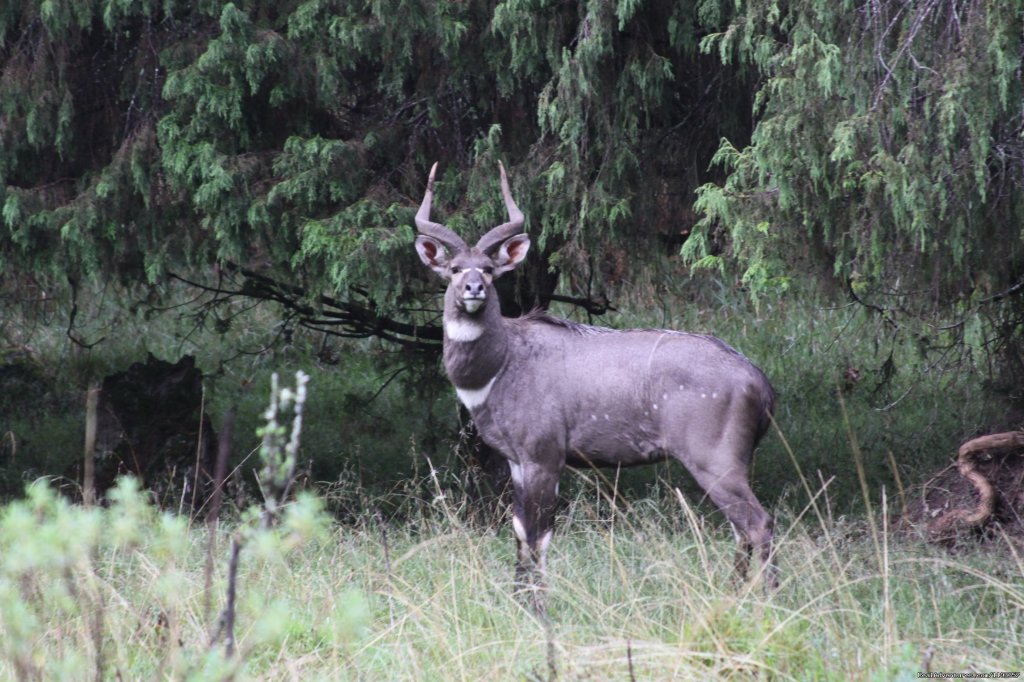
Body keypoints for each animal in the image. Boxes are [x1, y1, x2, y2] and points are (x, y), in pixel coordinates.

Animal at [413, 160, 774, 606]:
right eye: (453, 269)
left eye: (491, 269)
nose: (474, 288)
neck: (501, 367)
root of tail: (760, 384)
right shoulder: (516, 460)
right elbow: (518, 531)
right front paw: (518, 601)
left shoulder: (544, 454)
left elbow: (539, 535)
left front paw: (538, 606)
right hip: (736, 461)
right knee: (744, 528)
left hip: (715, 459)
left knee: (758, 522)